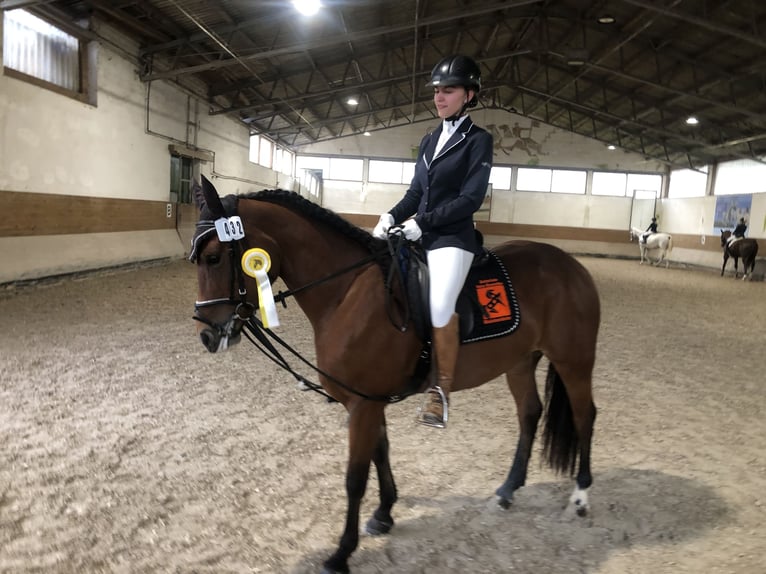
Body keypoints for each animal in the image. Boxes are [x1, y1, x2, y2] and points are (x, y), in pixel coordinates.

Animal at [189, 177, 604, 574]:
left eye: (213, 257)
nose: (208, 336)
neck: (347, 292)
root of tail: (570, 265)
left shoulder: (363, 404)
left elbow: (355, 478)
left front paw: (341, 554)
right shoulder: (368, 401)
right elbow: (381, 452)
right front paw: (384, 514)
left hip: (574, 360)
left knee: (585, 415)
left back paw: (581, 498)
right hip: (519, 361)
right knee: (529, 414)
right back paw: (508, 491)